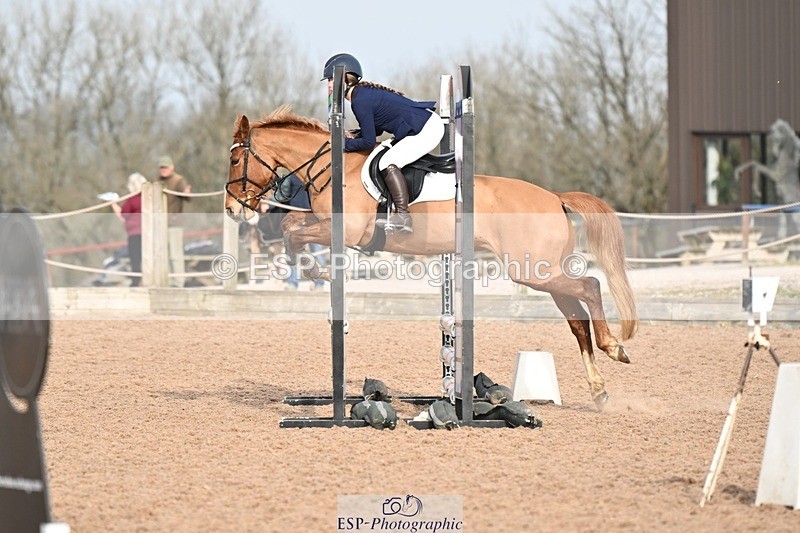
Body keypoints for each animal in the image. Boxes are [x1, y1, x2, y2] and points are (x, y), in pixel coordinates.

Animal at [224, 105, 638, 409]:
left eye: (234, 162)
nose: (232, 209)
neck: (331, 168)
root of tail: (555, 196)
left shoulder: (346, 230)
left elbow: (293, 234)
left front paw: (319, 274)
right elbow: (291, 227)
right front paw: (316, 272)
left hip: (532, 270)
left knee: (590, 285)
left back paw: (614, 347)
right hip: (542, 272)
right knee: (577, 319)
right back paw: (599, 389)